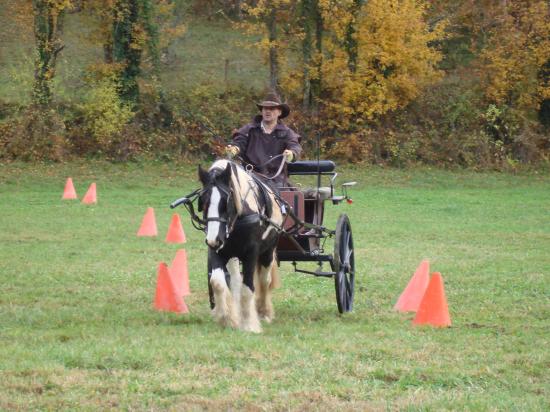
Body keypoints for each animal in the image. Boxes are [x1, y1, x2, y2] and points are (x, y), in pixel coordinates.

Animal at [198, 159, 284, 334]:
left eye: (226, 202)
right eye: (203, 203)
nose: (214, 239)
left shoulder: (251, 253)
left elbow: (248, 288)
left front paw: (249, 324)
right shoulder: (217, 250)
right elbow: (217, 282)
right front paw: (227, 318)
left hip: (268, 251)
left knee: (264, 280)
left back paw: (263, 312)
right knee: (236, 280)